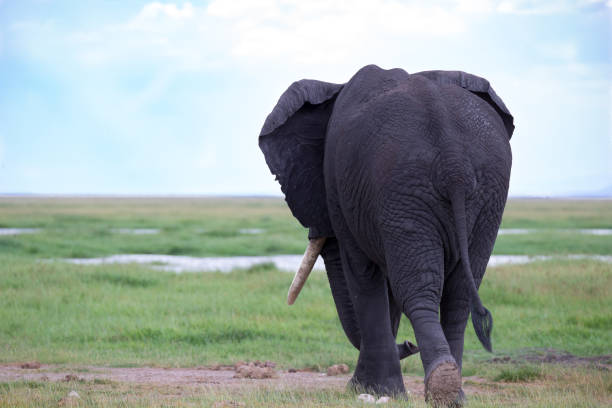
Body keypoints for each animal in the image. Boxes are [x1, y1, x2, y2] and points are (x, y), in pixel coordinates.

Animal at [256, 65, 512, 406]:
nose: (407, 344)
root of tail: (453, 159)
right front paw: (375, 389)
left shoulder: (346, 188)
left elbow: (363, 274)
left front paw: (371, 390)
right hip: (473, 194)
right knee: (457, 291)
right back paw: (451, 393)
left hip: (404, 183)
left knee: (418, 287)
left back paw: (440, 388)